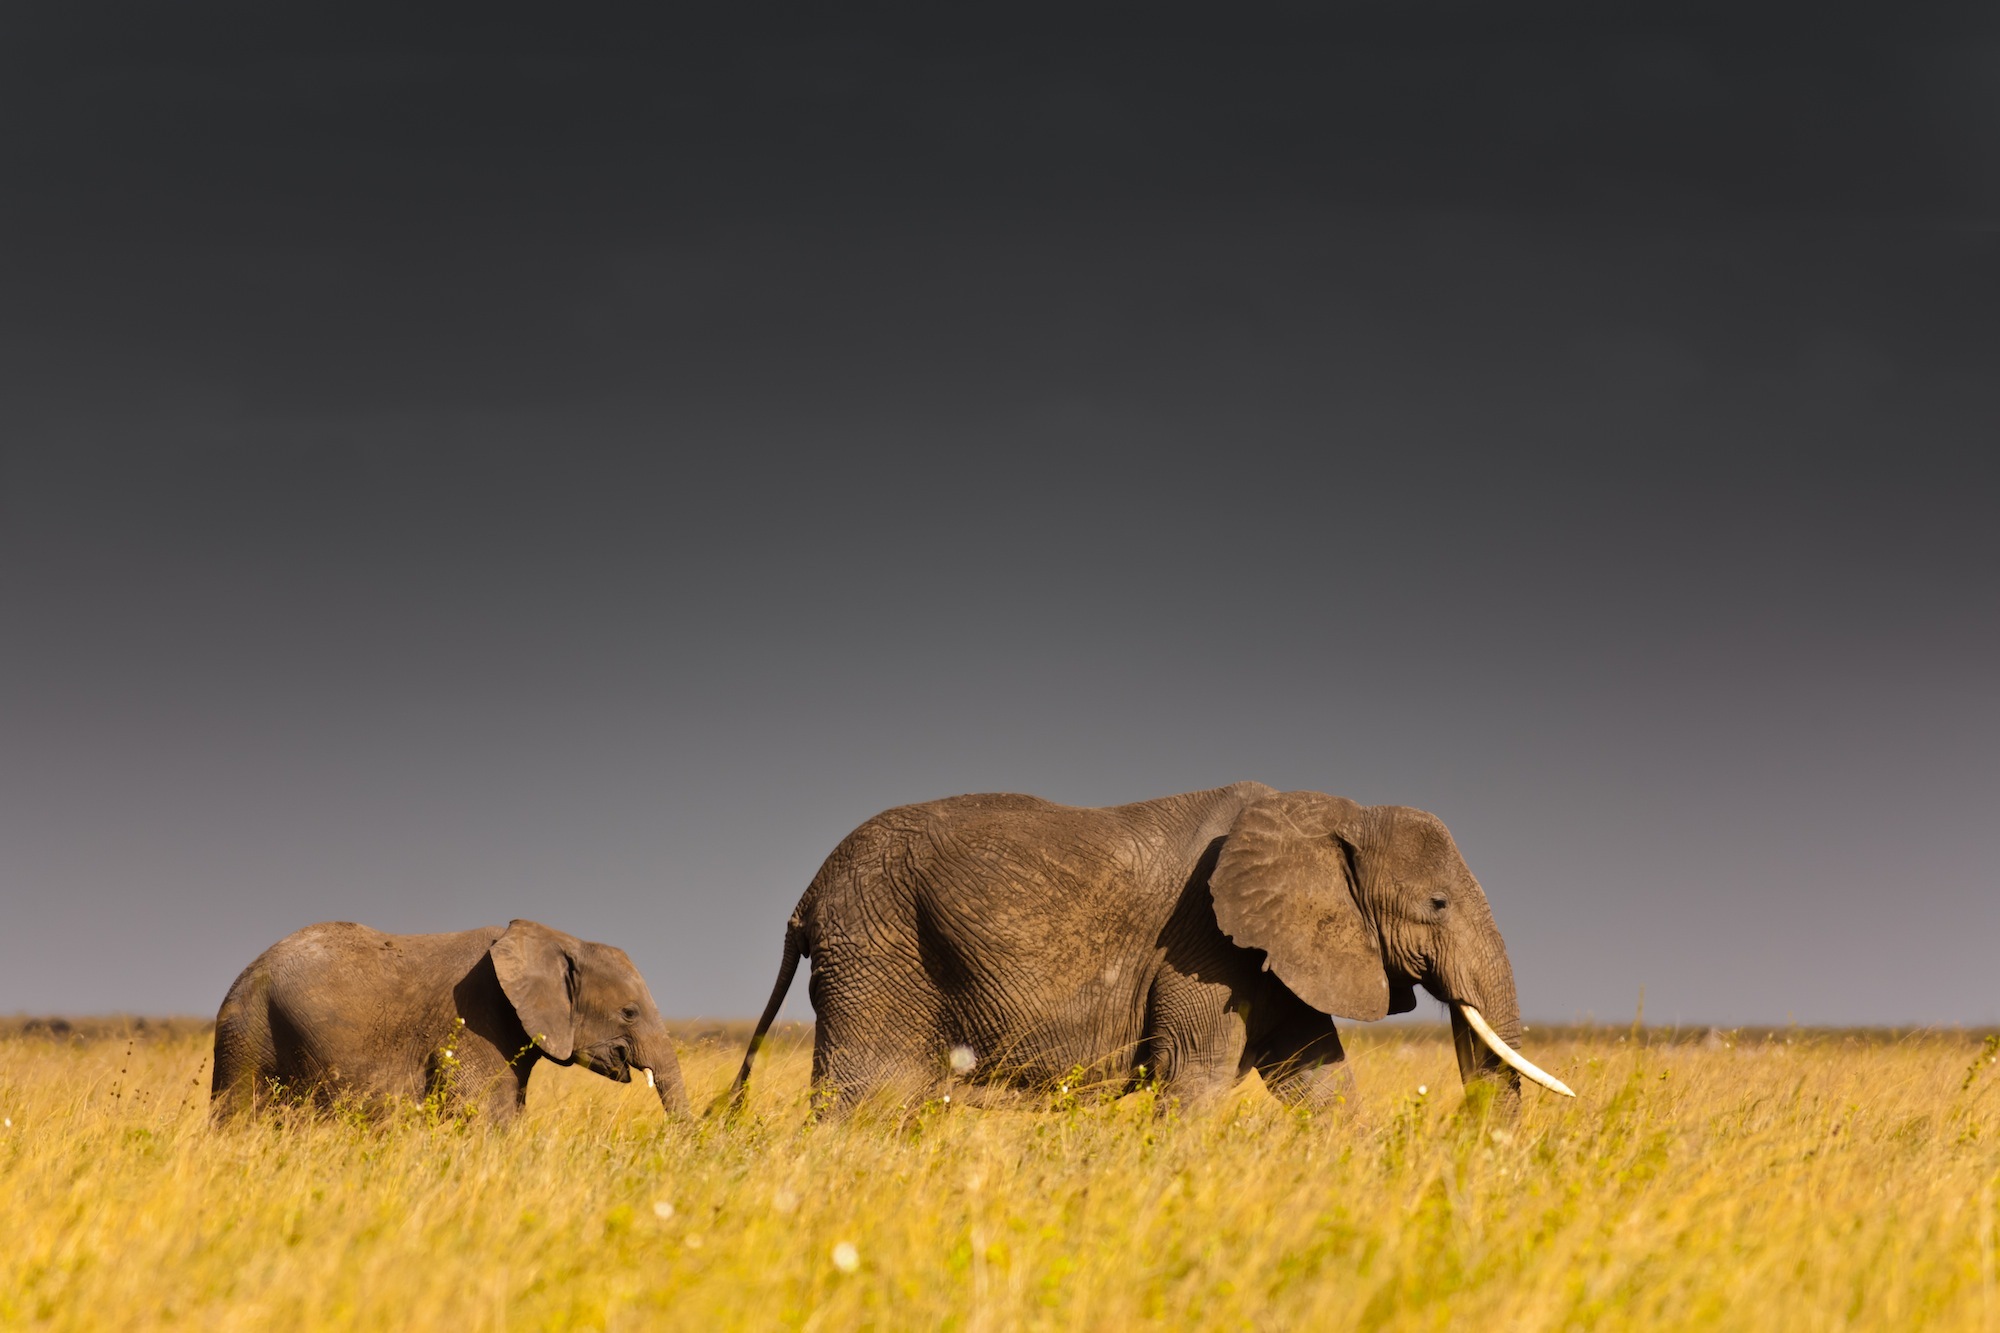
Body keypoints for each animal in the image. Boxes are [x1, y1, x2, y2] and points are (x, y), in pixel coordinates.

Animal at [207, 912, 684, 1120]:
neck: (558, 938)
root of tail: (245, 974)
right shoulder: (473, 1023)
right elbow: (488, 1114)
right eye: (629, 1012)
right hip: (251, 1033)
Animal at [728, 780, 1568, 1112]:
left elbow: (1319, 1079)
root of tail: (807, 897)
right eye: (1437, 904)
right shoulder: (1204, 946)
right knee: (866, 1098)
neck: (1328, 812)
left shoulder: (1272, 955)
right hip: (878, 948)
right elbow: (1192, 1074)